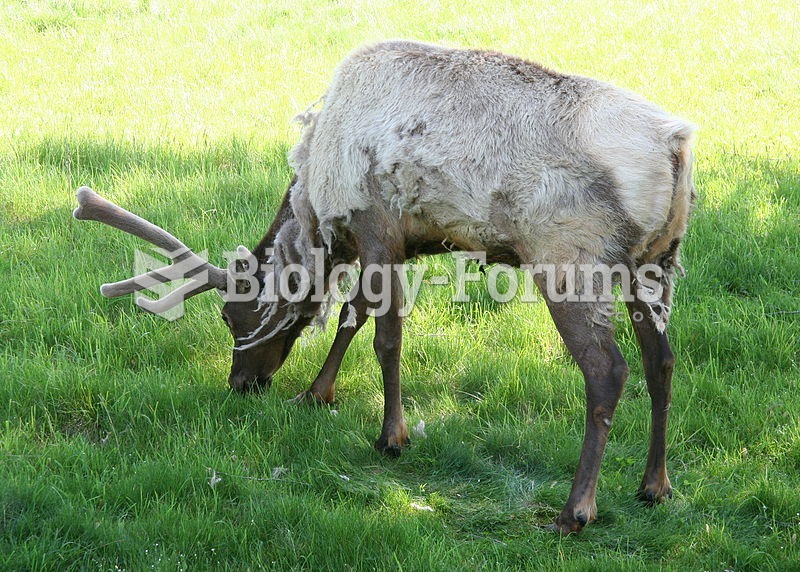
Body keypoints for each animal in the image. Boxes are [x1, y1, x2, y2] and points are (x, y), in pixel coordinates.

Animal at [78, 41, 696, 532]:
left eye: (232, 316)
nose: (242, 384)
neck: (318, 208)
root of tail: (680, 145)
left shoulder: (377, 228)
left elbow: (386, 337)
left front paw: (390, 435)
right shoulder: (403, 241)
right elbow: (351, 315)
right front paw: (316, 393)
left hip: (571, 258)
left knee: (607, 370)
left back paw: (575, 510)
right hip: (654, 265)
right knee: (661, 361)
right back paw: (655, 485)